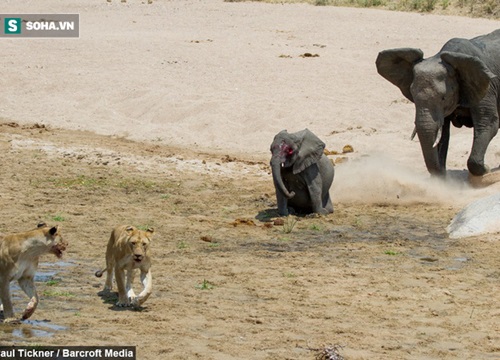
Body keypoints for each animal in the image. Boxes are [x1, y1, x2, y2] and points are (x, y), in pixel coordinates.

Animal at [376, 29, 500, 177]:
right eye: (413, 97)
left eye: (443, 98)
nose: (487, 167)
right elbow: (442, 133)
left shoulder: (485, 88)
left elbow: (488, 123)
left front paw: (486, 170)